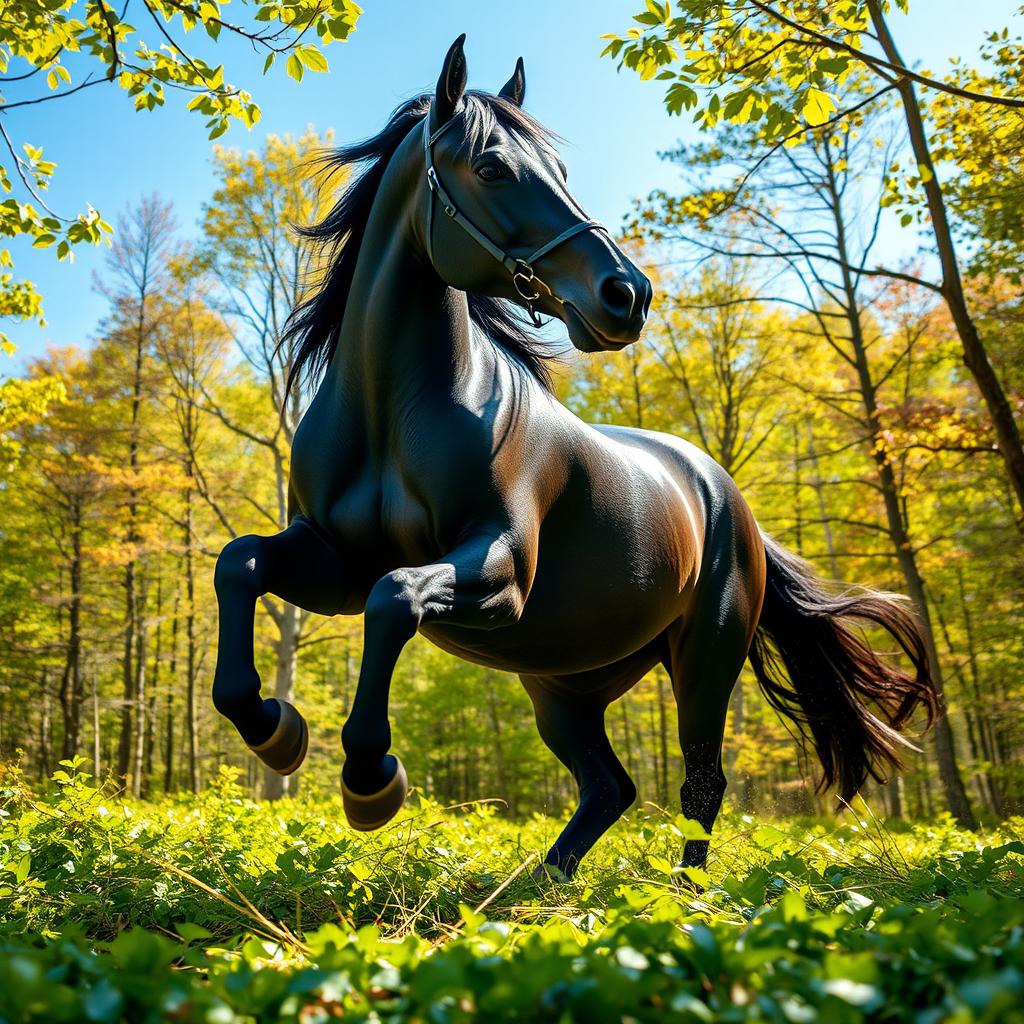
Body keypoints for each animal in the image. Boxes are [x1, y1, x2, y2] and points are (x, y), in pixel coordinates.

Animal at [211, 36, 937, 876]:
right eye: (492, 167)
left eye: (560, 170)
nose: (626, 295)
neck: (391, 415)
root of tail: (729, 498)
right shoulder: (333, 565)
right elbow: (241, 564)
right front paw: (275, 729)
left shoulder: (498, 573)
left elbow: (395, 600)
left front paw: (370, 781)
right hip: (562, 684)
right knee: (608, 787)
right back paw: (543, 886)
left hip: (702, 661)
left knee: (701, 783)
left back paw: (677, 896)